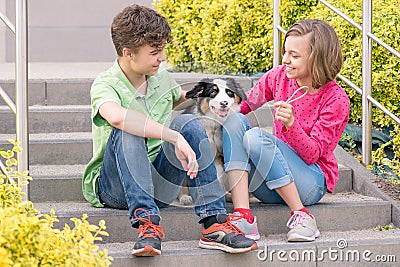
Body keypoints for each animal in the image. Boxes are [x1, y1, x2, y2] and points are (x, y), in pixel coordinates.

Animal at [177, 78, 245, 206]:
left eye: (229, 92)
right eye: (213, 92)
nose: (224, 103)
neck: (213, 125)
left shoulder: (219, 155)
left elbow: (219, 176)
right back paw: (184, 197)